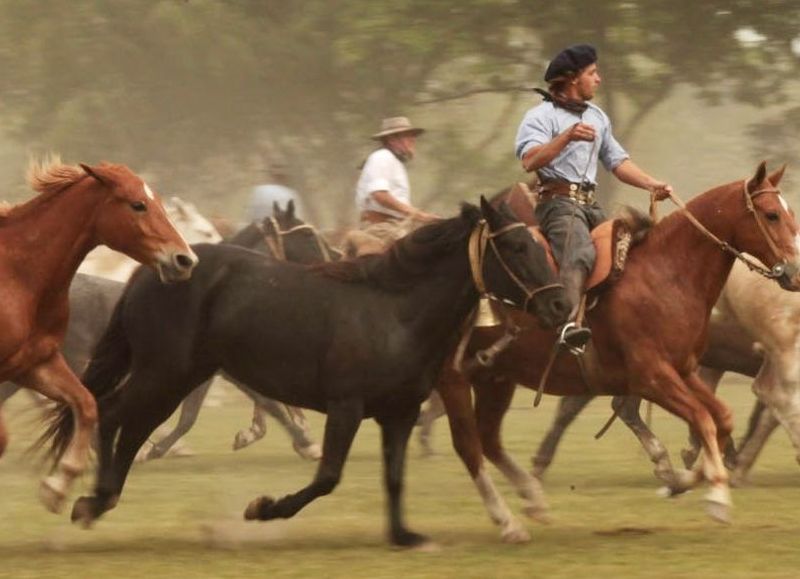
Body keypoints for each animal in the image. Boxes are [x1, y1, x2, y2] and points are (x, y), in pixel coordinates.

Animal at [0, 157, 198, 512]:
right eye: (138, 204)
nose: (185, 259)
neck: (18, 276)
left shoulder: (35, 364)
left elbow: (87, 404)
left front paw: (57, 486)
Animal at [45, 199, 568, 548]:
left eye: (538, 242)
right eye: (516, 245)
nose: (562, 305)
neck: (396, 312)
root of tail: (153, 270)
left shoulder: (398, 413)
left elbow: (394, 477)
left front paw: (405, 535)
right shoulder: (346, 406)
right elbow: (327, 476)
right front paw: (263, 508)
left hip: (181, 375)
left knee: (131, 425)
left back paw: (99, 497)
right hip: (164, 373)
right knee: (113, 414)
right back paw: (87, 498)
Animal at [434, 163, 800, 544]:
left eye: (788, 212)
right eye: (771, 214)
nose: (794, 272)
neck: (666, 275)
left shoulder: (683, 370)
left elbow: (721, 417)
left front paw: (682, 480)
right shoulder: (652, 377)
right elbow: (702, 418)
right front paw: (715, 497)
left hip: (495, 377)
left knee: (489, 438)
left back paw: (532, 500)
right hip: (453, 377)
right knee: (469, 444)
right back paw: (510, 519)